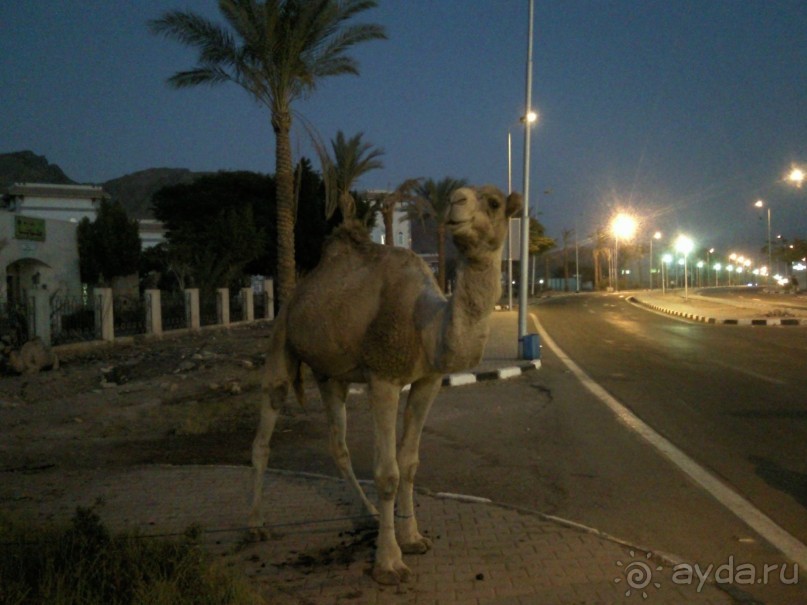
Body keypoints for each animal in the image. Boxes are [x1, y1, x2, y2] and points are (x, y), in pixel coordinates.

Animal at [251, 183, 524, 580]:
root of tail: (299, 292)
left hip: (330, 374)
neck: (426, 326)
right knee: (267, 423)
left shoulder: (427, 380)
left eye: (493, 202)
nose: (456, 200)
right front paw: (389, 562)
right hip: (281, 335)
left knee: (338, 443)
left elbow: (409, 463)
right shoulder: (383, 376)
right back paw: (255, 524)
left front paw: (413, 539)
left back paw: (367, 512)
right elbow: (388, 472)